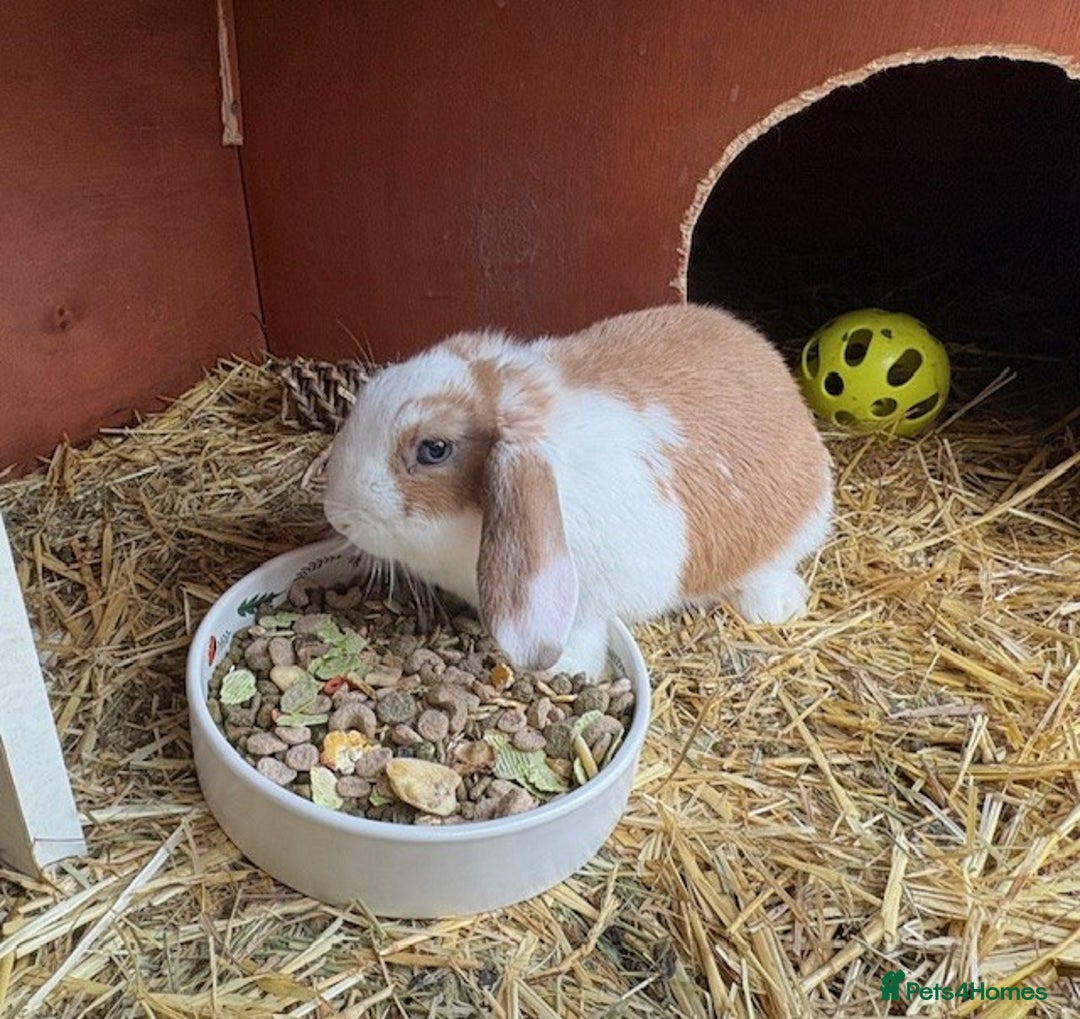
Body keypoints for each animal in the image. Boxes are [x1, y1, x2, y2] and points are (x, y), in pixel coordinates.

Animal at [323, 303, 833, 678]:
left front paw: (563, 670)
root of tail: (780, 379)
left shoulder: (588, 604)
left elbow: (583, 635)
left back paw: (772, 607)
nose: (336, 514)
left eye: (434, 449)